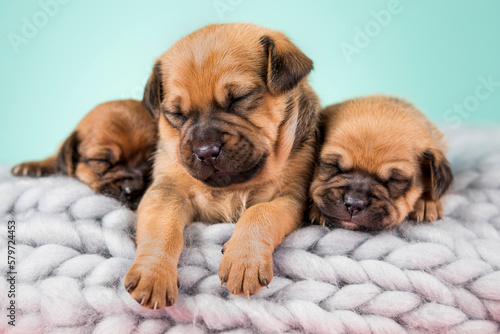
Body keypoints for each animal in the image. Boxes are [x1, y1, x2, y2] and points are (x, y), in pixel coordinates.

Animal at [122, 22, 318, 308]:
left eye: (239, 98)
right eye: (176, 114)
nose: (206, 152)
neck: (233, 186)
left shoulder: (290, 196)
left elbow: (260, 214)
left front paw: (244, 263)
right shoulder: (167, 191)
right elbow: (161, 228)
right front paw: (152, 275)